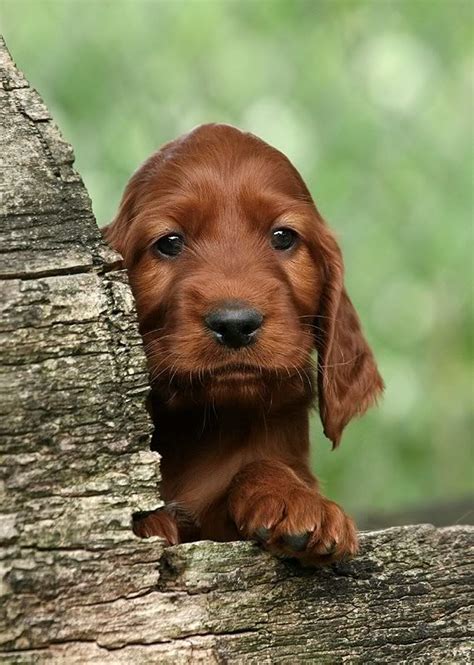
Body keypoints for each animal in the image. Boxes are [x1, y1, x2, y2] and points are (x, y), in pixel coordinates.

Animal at [105, 122, 384, 564]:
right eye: (169, 242)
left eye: (283, 236)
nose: (235, 324)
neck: (209, 419)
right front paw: (147, 521)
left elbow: (261, 465)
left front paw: (296, 501)